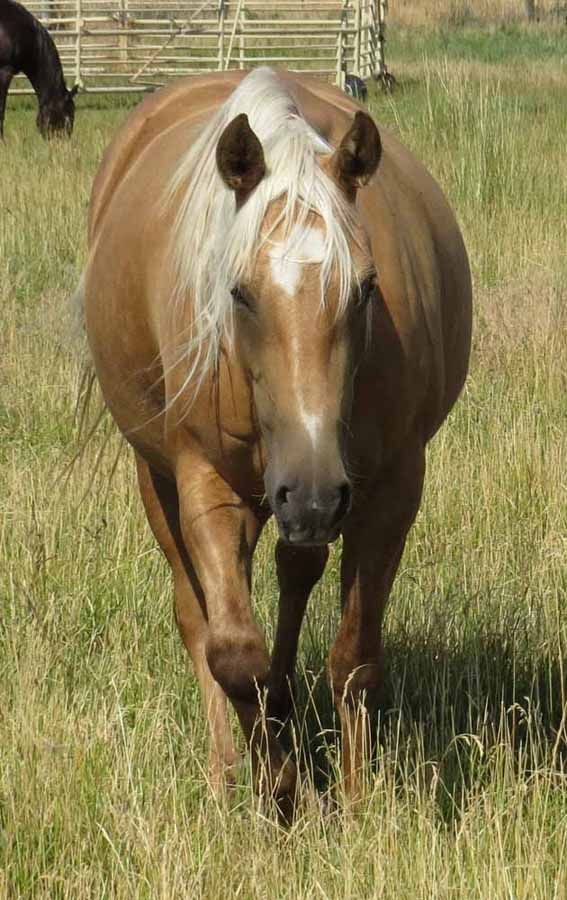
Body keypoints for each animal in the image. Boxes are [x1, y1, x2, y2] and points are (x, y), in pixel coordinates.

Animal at [78, 67, 472, 818]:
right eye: (238, 292)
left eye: (366, 288)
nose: (312, 492)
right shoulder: (206, 483)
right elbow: (232, 652)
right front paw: (278, 786)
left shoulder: (388, 491)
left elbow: (354, 657)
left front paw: (352, 802)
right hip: (165, 479)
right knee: (196, 618)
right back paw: (229, 768)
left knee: (296, 577)